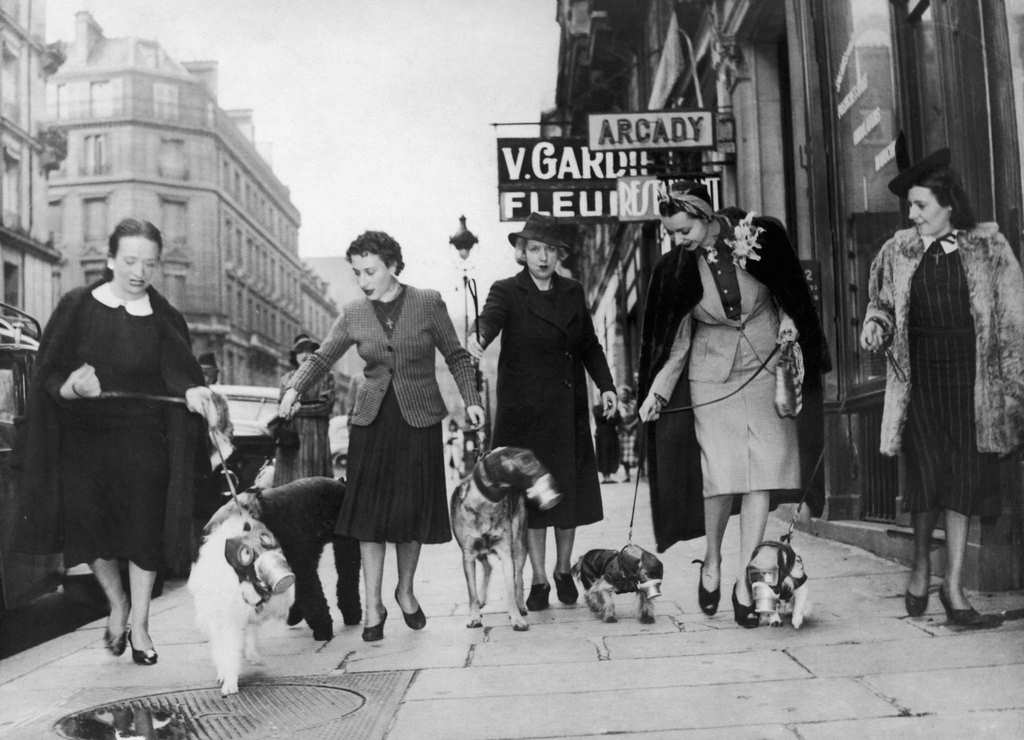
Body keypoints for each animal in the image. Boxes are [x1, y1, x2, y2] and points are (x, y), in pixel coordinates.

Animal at [188, 503, 296, 695]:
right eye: (246, 553)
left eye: (267, 540)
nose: (286, 579)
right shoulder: (226, 621)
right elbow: (227, 652)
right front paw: (228, 682)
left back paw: (253, 656)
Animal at [203, 476, 360, 638]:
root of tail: (341, 483)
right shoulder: (301, 560)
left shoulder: (300, 561)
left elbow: (311, 592)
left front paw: (323, 629)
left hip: (345, 545)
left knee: (347, 578)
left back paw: (351, 613)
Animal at [448, 446, 561, 630]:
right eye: (528, 461)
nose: (556, 492)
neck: (485, 504)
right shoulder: (468, 554)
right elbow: (471, 592)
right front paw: (474, 616)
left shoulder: (506, 553)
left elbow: (511, 588)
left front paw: (516, 618)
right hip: (479, 552)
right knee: (488, 567)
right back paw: (481, 600)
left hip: (519, 544)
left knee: (518, 577)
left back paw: (521, 605)